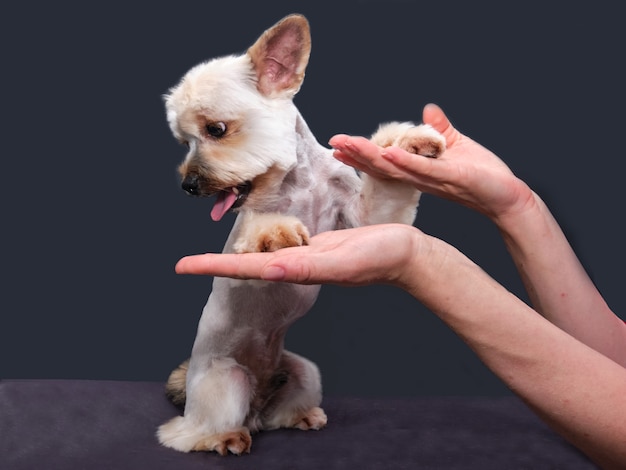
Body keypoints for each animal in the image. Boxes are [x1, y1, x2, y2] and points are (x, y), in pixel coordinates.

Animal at [161, 14, 444, 456]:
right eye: (184, 141)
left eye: (216, 129)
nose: (188, 185)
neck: (300, 181)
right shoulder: (248, 235)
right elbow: (259, 233)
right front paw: (277, 235)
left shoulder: (365, 216)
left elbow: (383, 201)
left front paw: (408, 142)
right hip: (225, 379)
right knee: (186, 432)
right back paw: (223, 437)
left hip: (302, 370)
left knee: (276, 413)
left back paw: (299, 415)